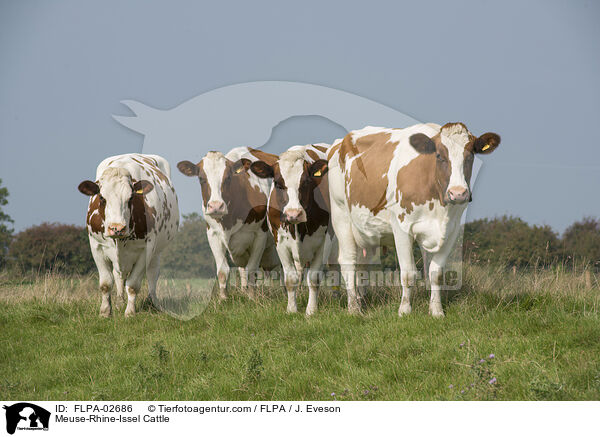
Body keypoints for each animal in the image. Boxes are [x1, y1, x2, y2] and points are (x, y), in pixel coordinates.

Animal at [76, 153, 178, 316]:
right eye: (102, 197)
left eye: (130, 198)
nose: (117, 228)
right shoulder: (96, 246)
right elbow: (106, 283)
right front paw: (105, 312)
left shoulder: (146, 250)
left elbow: (133, 285)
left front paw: (130, 312)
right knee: (118, 275)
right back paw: (119, 302)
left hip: (157, 251)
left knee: (152, 273)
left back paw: (152, 302)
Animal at [177, 145, 280, 298]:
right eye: (201, 178)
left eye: (228, 178)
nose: (216, 206)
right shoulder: (213, 234)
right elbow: (223, 271)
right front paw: (224, 299)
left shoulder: (259, 235)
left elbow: (252, 270)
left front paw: (252, 298)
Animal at [248, 143, 332, 314]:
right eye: (278, 184)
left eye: (306, 182)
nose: (294, 214)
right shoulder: (280, 242)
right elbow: (290, 278)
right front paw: (292, 309)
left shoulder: (324, 241)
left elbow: (314, 277)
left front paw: (311, 311)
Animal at [326, 122, 500, 316]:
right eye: (439, 155)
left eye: (470, 155)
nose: (458, 193)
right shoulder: (401, 227)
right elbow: (408, 273)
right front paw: (404, 310)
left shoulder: (451, 230)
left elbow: (436, 273)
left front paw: (436, 311)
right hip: (341, 215)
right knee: (348, 261)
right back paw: (354, 308)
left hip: (367, 231)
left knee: (363, 264)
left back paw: (361, 301)